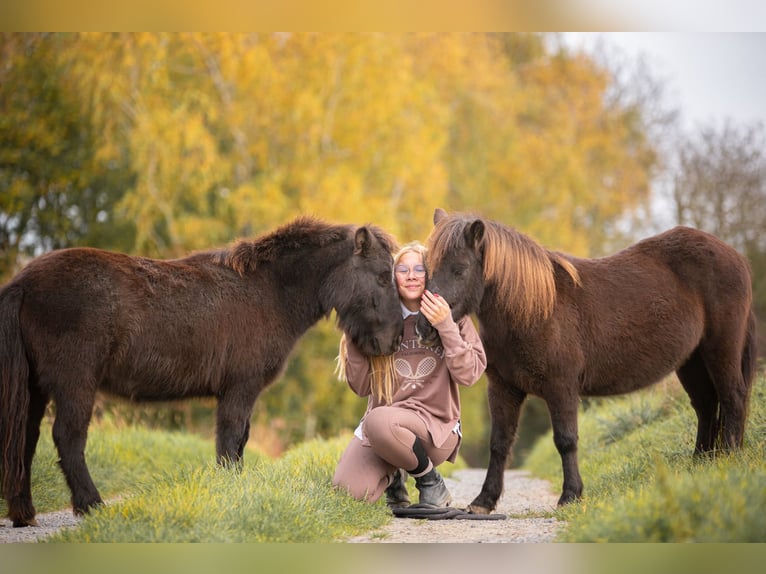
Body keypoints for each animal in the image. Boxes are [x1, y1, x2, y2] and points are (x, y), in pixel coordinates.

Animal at [0, 216, 404, 528]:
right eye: (383, 276)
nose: (395, 339)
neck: (269, 292)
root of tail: (23, 281)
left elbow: (239, 443)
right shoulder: (240, 389)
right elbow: (230, 441)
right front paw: (229, 493)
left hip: (37, 388)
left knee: (26, 438)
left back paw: (24, 513)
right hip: (75, 383)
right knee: (68, 437)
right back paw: (91, 506)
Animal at [420, 209, 760, 516]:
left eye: (460, 269)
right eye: (427, 267)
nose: (426, 327)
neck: (534, 310)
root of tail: (736, 257)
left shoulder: (561, 388)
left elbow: (566, 440)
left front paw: (571, 496)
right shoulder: (504, 389)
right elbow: (500, 443)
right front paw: (484, 501)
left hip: (721, 350)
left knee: (733, 398)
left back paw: (728, 459)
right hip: (691, 361)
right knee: (706, 405)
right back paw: (701, 463)